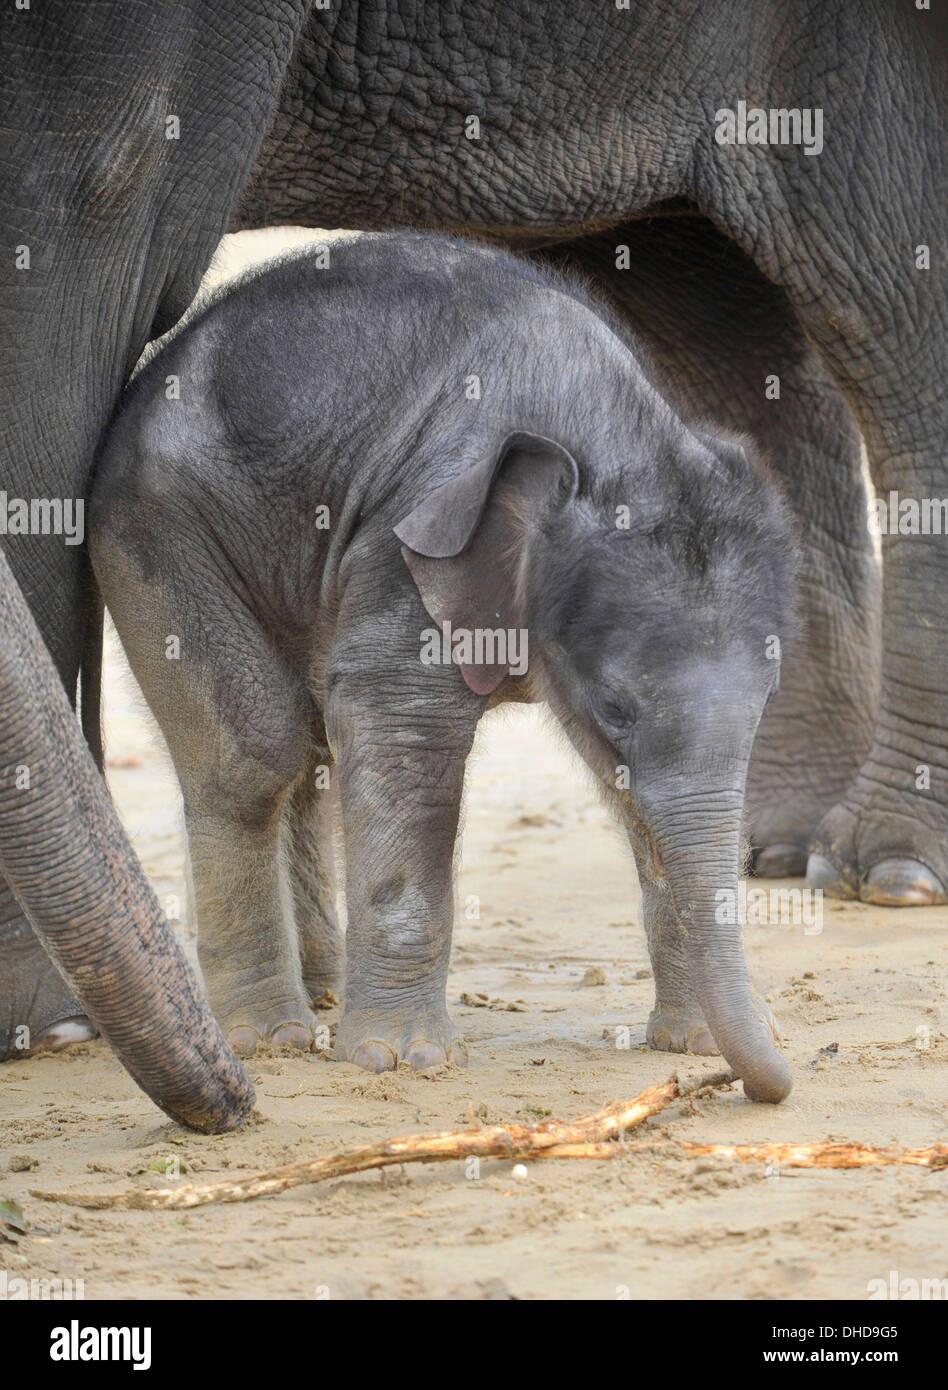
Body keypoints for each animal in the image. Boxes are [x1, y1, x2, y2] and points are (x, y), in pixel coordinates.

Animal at [89, 233, 797, 1101]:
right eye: (615, 708)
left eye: (769, 696)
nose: (765, 1081)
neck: (613, 432)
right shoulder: (408, 543)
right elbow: (400, 725)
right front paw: (401, 1061)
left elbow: (631, 791)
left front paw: (694, 1045)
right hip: (154, 527)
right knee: (257, 752)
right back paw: (270, 1036)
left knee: (307, 748)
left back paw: (323, 993)